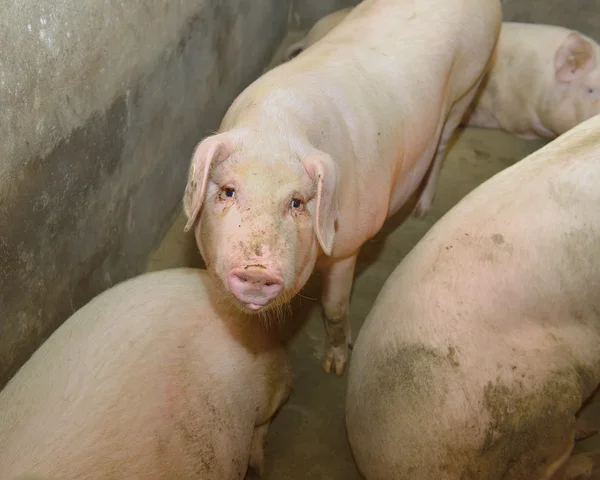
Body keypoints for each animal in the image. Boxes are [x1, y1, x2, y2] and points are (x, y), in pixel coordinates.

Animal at [182, 0, 502, 376]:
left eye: (297, 202)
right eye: (229, 191)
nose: (257, 271)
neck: (273, 131)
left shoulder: (348, 245)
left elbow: (334, 308)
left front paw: (335, 367)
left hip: (468, 87)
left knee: (441, 148)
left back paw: (422, 211)